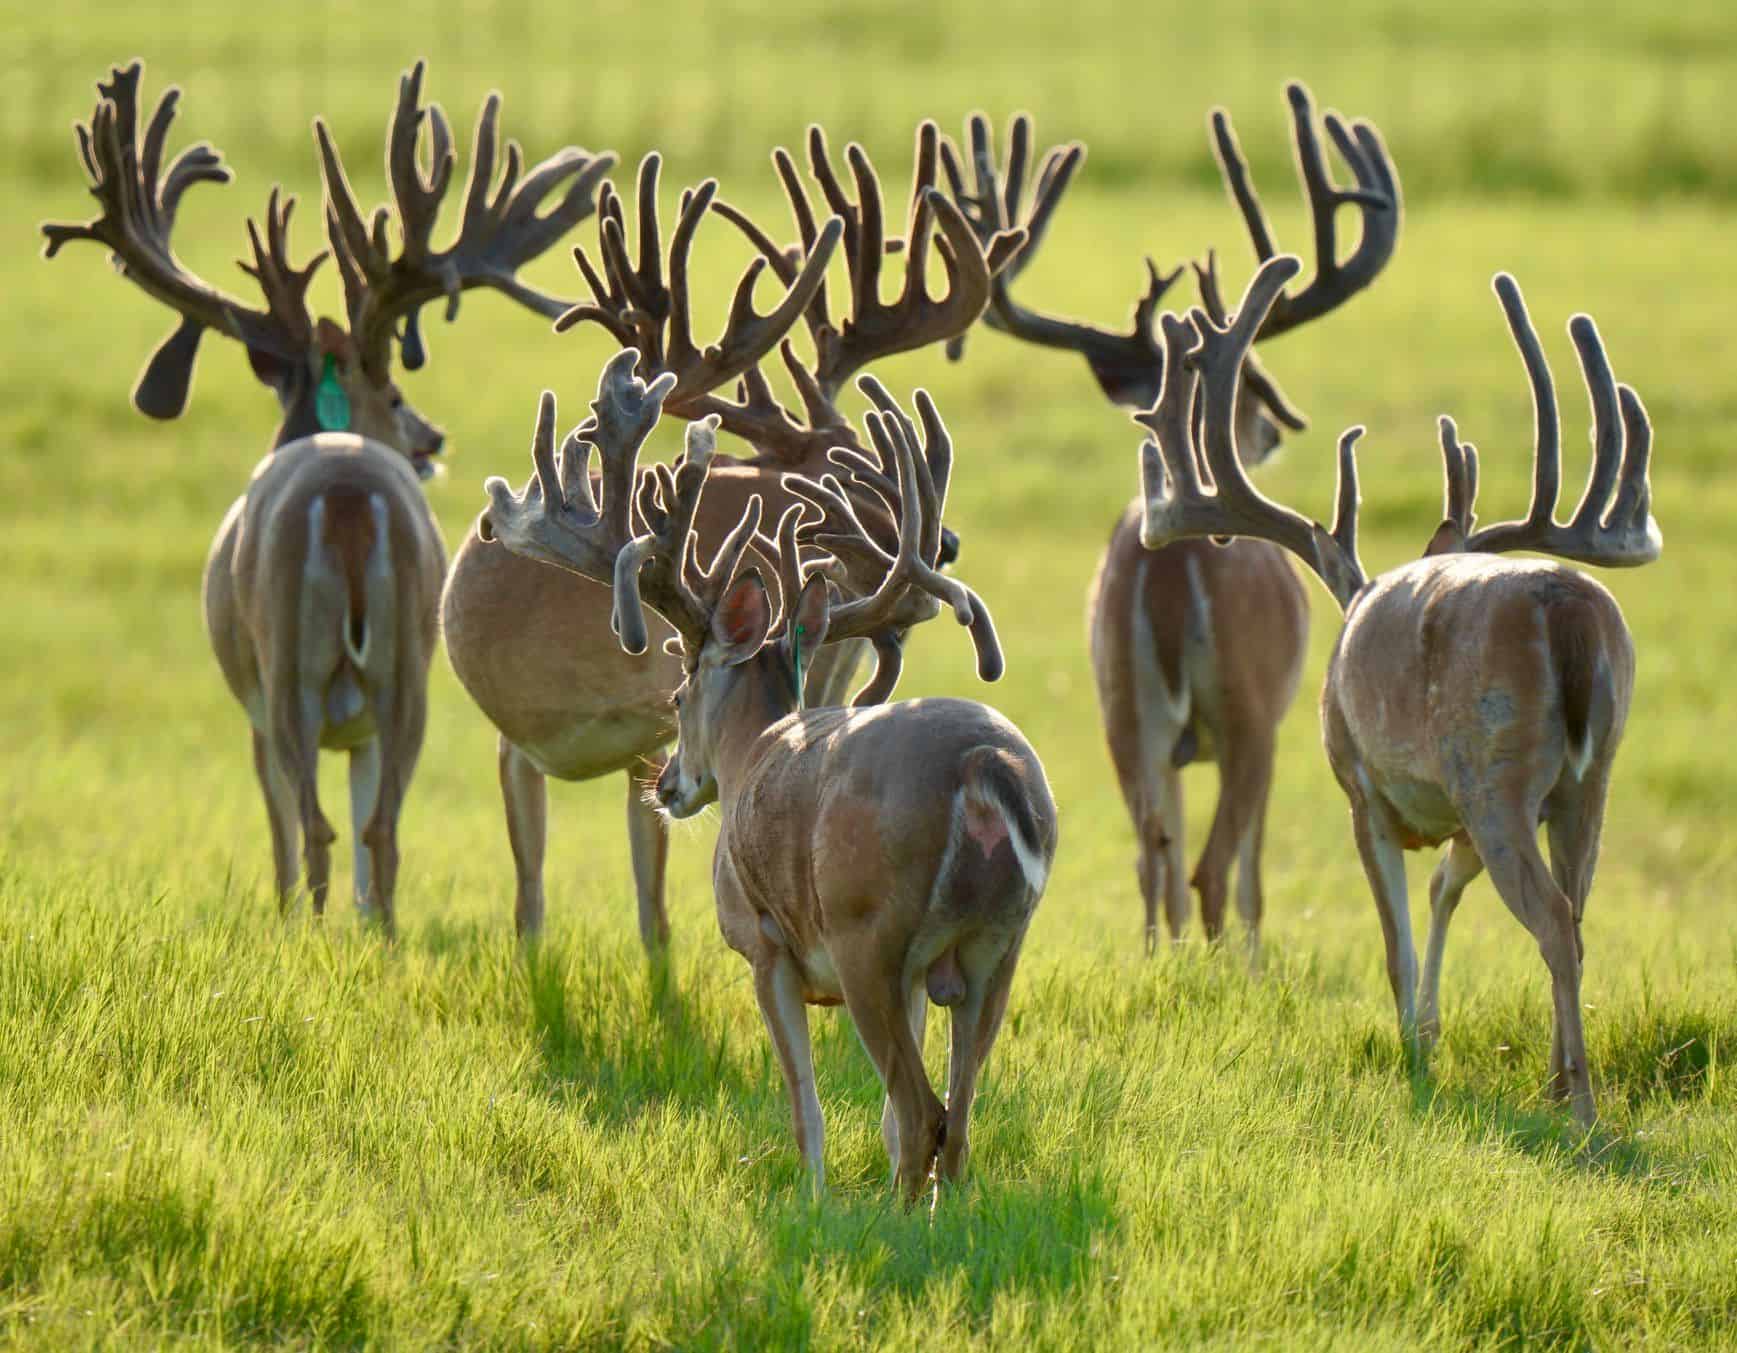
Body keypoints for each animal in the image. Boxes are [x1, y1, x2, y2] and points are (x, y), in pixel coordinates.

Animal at [41, 60, 612, 933]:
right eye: (396, 391)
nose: (432, 438)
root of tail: (347, 497)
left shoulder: (257, 700)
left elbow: (285, 825)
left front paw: (287, 921)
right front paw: (363, 925)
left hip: (288, 663)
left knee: (313, 824)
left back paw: (304, 929)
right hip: (404, 668)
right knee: (379, 829)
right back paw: (375, 936)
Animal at [478, 348, 1055, 1200]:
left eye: (678, 693)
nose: (666, 784)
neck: (754, 747)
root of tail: (983, 768)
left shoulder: (763, 944)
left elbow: (805, 1103)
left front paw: (813, 1200)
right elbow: (879, 1115)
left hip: (868, 930)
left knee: (924, 1110)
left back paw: (892, 1214)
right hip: (997, 946)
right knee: (957, 1119)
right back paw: (936, 1210)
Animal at [938, 84, 1401, 955]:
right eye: (1252, 383)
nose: (1271, 431)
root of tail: (1165, 568)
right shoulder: (1271, 714)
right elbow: (1251, 870)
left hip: (1122, 706)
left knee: (1151, 854)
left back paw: (1162, 958)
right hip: (1244, 709)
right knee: (1211, 865)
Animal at [1138, 253, 1658, 1127]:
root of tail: (1570, 615)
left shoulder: (1364, 790)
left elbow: (1393, 939)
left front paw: (1413, 1051)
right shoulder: (1452, 818)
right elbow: (1444, 891)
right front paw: (1430, 1033)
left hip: (1492, 772)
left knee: (1553, 919)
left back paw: (1582, 1107)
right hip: (1593, 777)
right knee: (1578, 914)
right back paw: (1559, 1080)